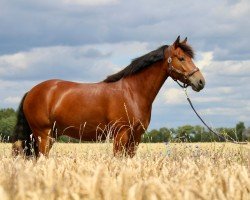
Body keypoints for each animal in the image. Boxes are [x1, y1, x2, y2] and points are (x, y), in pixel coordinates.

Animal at [12, 36, 205, 158]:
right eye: (181, 58)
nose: (200, 81)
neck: (132, 92)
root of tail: (31, 92)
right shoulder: (121, 135)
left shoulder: (136, 137)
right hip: (43, 135)